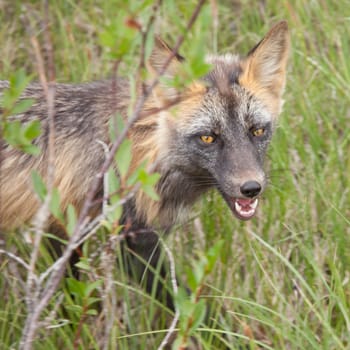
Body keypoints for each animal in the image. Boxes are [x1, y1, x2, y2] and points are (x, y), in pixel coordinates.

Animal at [0, 21, 290, 306]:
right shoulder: (123, 237)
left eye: (257, 131)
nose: (251, 188)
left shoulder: (63, 227)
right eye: (208, 137)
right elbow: (187, 305)